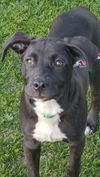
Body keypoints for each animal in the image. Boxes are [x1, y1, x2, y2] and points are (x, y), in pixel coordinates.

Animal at [1, 6, 100, 177]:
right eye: (29, 60)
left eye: (59, 62)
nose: (39, 84)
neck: (48, 106)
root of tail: (81, 8)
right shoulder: (30, 143)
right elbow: (33, 171)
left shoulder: (77, 143)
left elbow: (72, 169)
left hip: (96, 71)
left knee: (95, 97)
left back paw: (91, 123)